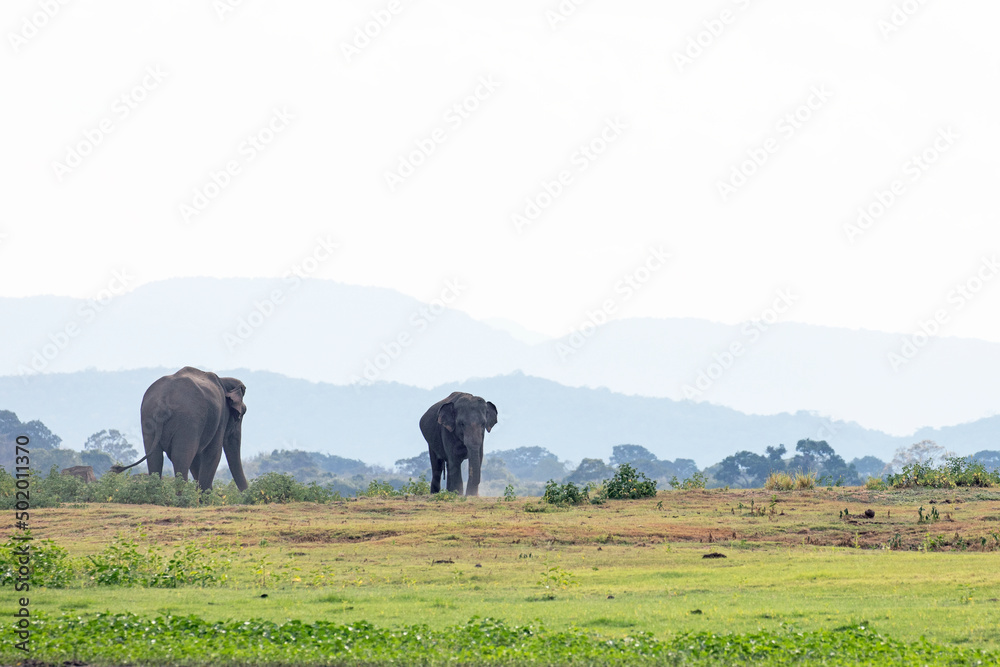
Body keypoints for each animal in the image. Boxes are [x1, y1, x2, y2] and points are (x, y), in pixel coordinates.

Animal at [111, 367, 249, 491]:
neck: (223, 380)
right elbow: (213, 453)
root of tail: (163, 403)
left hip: (147, 417)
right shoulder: (220, 417)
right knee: (181, 457)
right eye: (242, 413)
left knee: (156, 457)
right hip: (188, 421)